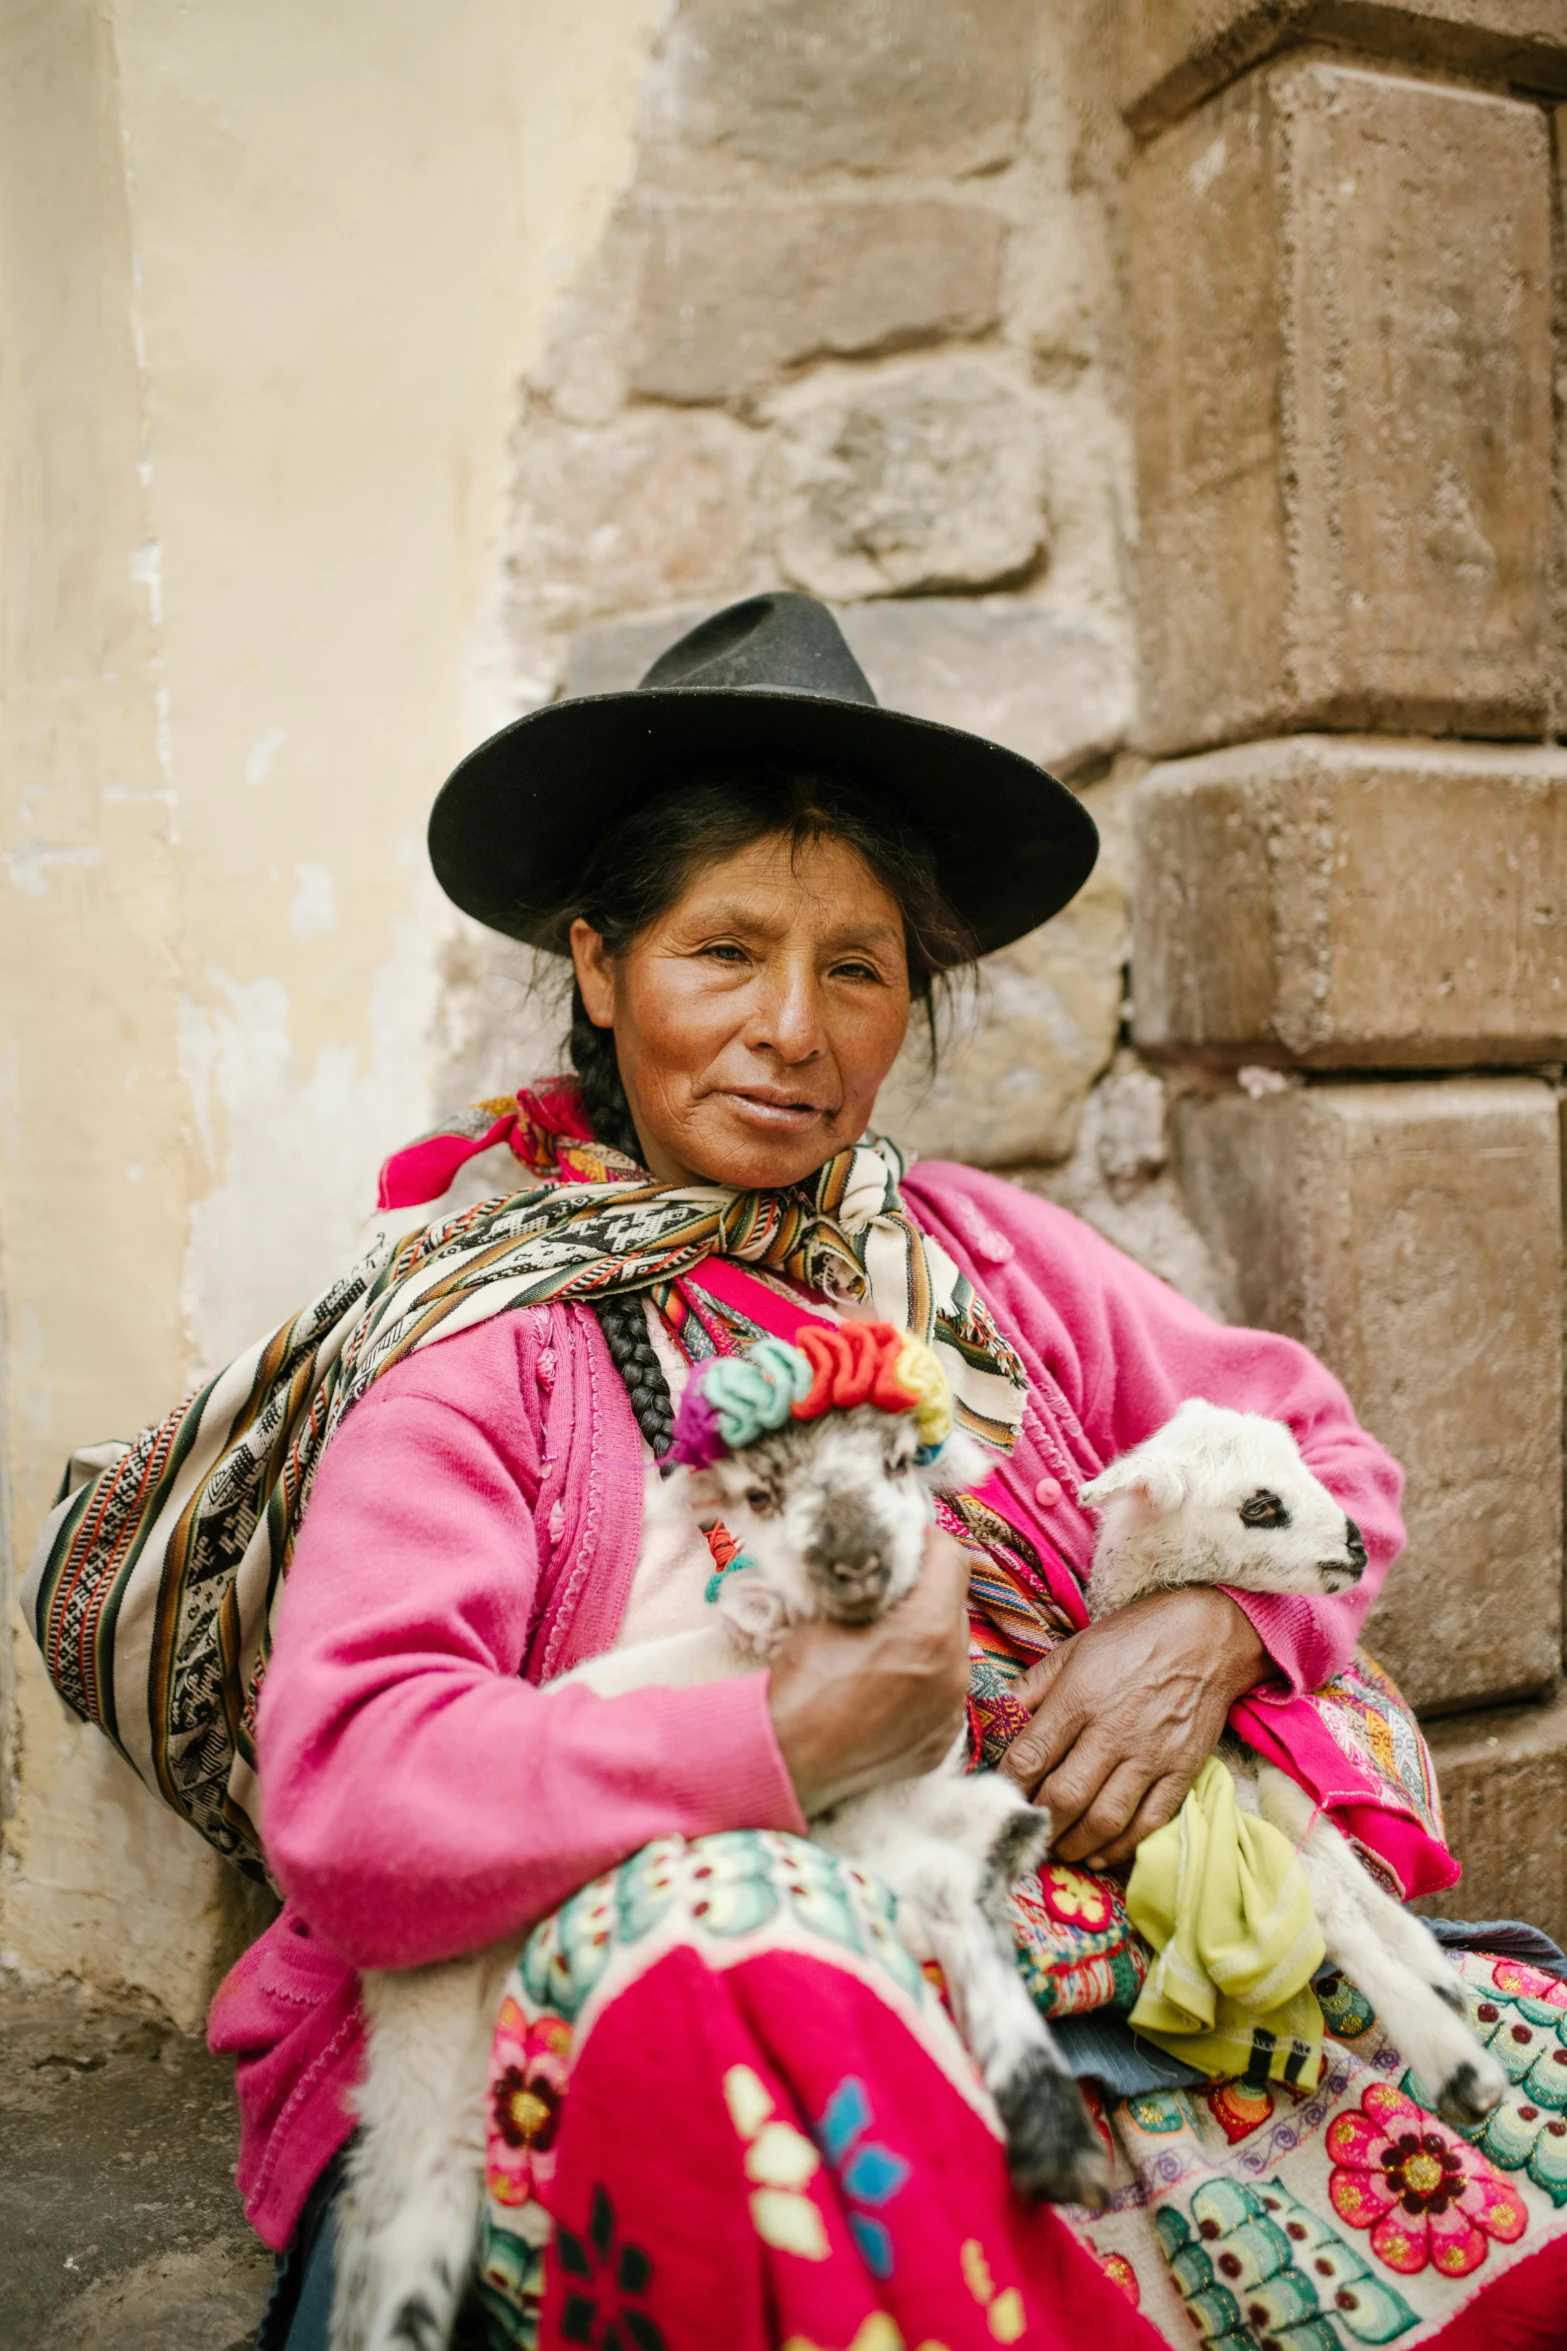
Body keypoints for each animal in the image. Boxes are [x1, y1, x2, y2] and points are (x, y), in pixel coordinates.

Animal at [333, 1325, 1108, 2351]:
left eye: (899, 1464)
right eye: (760, 1498)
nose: (854, 1562)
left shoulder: (921, 1811)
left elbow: (983, 1863)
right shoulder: (859, 1821)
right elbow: (952, 1892)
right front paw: (1050, 2131)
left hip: (454, 2078)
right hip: (436, 2029)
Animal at [1085, 1401, 1512, 2144]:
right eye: (1259, 1506)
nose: (1357, 1544)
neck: (1228, 1747)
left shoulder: (1279, 1788)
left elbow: (1347, 1877)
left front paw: (1432, 1974)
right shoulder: (1239, 1815)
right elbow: (1330, 1905)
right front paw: (1452, 2058)